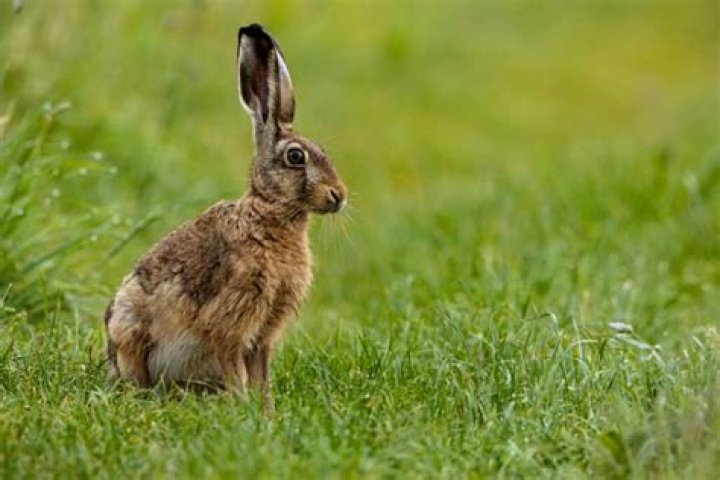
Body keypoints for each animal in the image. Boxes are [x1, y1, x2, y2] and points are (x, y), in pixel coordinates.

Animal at [104, 23, 347, 413]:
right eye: (296, 157)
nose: (339, 195)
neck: (270, 213)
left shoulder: (264, 333)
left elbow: (261, 375)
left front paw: (267, 412)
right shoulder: (232, 320)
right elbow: (237, 370)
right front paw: (244, 408)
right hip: (130, 330)